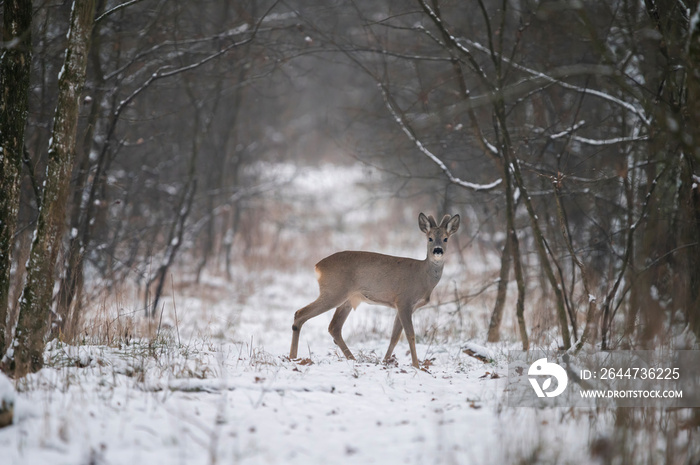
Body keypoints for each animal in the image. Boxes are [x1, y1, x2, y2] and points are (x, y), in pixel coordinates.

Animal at [288, 212, 460, 368]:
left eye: (446, 238)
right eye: (429, 238)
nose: (438, 250)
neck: (423, 277)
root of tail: (318, 266)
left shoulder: (402, 306)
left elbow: (394, 337)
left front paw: (385, 362)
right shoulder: (404, 300)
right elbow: (410, 334)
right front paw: (416, 365)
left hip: (347, 299)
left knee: (334, 327)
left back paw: (353, 359)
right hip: (333, 292)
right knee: (300, 314)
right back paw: (292, 357)